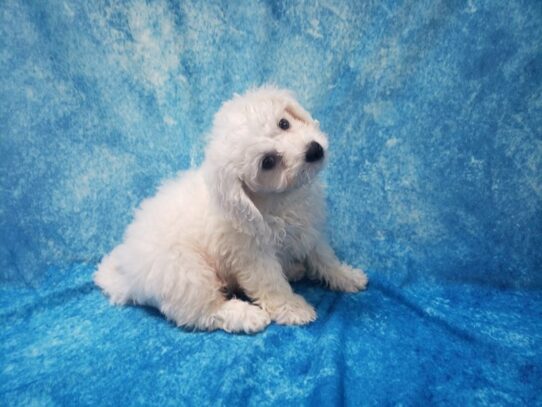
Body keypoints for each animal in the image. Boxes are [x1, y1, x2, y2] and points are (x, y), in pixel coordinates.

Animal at [96, 87, 370, 334]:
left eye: (283, 123)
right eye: (268, 162)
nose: (314, 150)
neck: (278, 199)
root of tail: (128, 276)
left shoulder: (310, 229)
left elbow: (325, 257)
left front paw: (346, 276)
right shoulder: (252, 254)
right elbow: (272, 284)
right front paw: (293, 308)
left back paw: (293, 269)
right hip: (185, 273)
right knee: (202, 312)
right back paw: (246, 315)